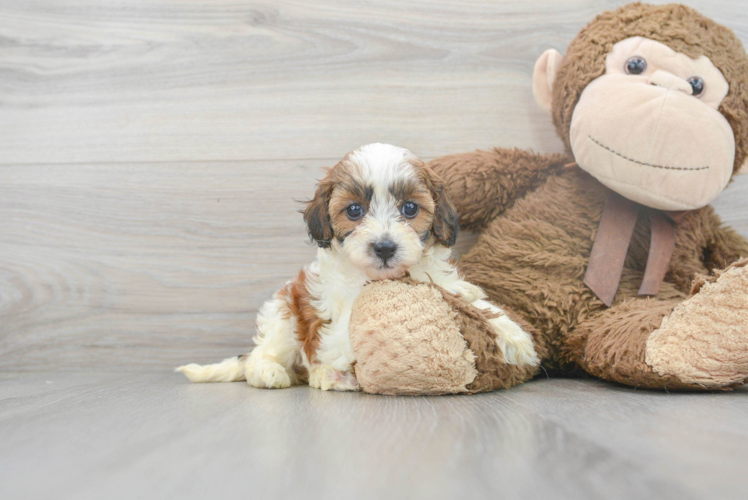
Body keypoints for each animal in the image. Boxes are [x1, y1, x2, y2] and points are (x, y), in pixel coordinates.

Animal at [175, 144, 536, 390]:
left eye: (409, 208)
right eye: (353, 210)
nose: (385, 247)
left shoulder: (437, 278)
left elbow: (465, 298)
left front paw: (514, 337)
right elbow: (346, 331)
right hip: (284, 313)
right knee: (265, 356)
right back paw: (281, 372)